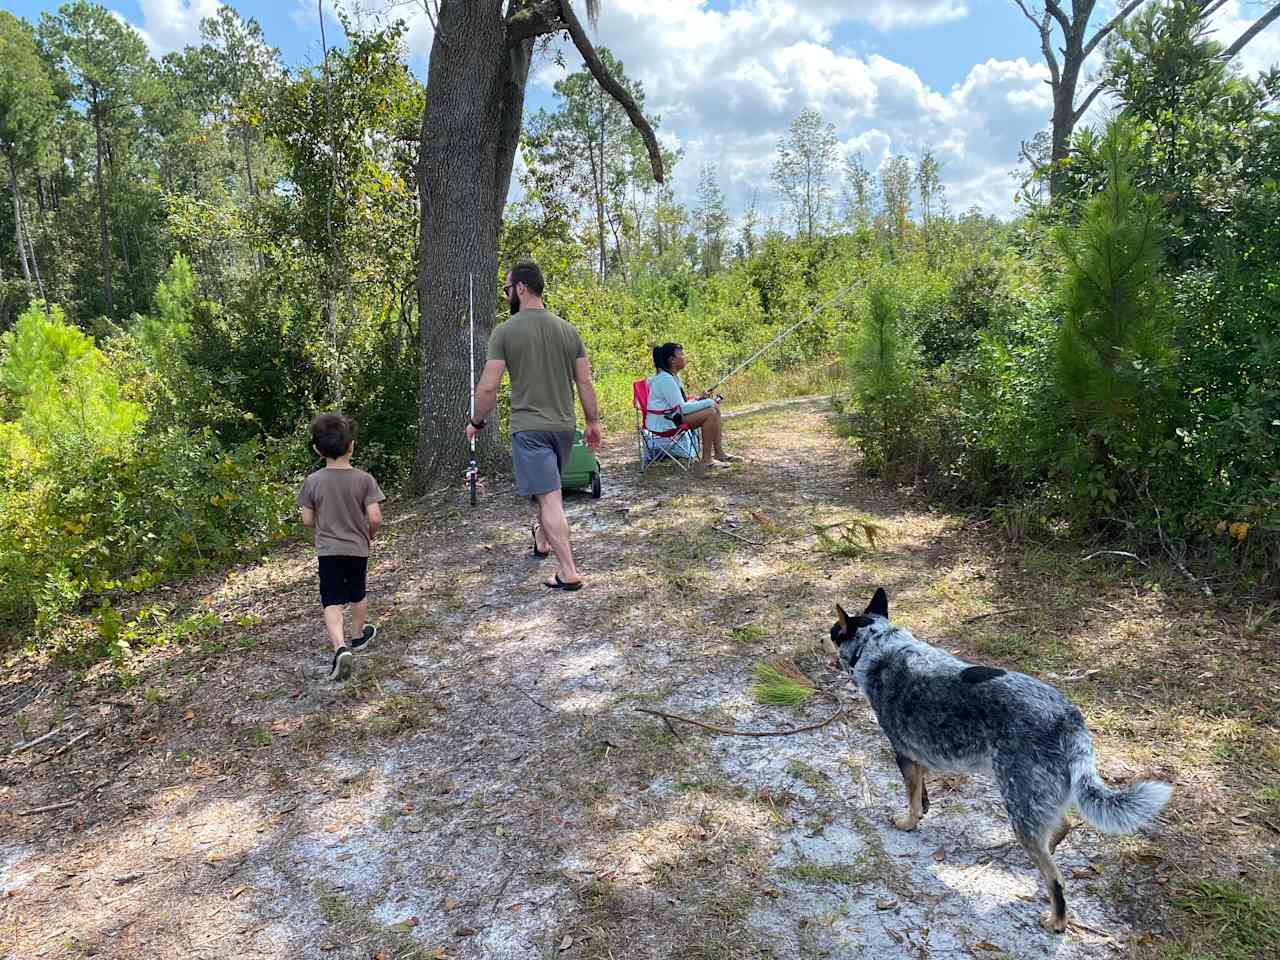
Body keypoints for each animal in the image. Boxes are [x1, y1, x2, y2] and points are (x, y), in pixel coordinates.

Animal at [829, 586, 1172, 931]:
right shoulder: (918, 757)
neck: (880, 646)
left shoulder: (904, 755)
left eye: (834, 632)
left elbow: (911, 800)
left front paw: (908, 823)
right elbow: (922, 796)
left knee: (1055, 879)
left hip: (1018, 800)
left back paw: (1056, 920)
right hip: (1035, 801)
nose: (823, 636)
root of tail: (1068, 717)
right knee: (1061, 828)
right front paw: (922, 811)